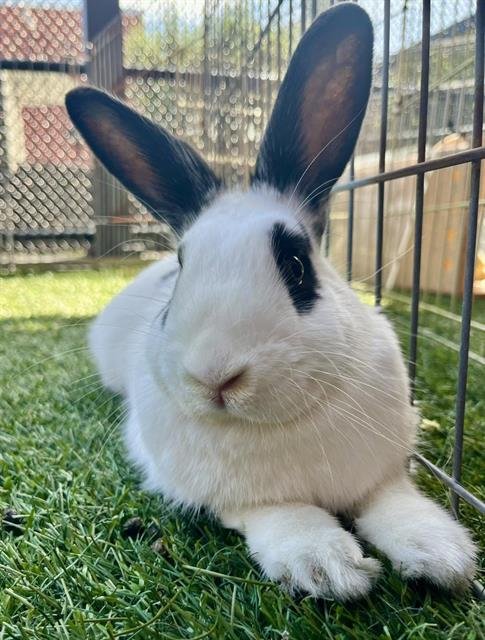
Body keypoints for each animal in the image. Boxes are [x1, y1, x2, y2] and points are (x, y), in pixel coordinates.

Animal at [65, 3, 476, 601]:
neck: (273, 426)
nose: (215, 376)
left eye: (297, 265)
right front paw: (327, 566)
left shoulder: (382, 473)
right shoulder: (246, 501)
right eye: (182, 268)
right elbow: (283, 515)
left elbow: (394, 501)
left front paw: (442, 553)